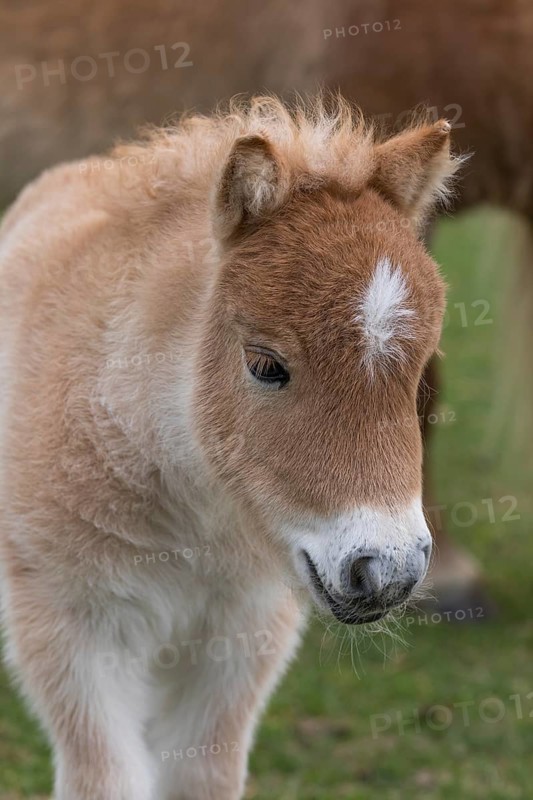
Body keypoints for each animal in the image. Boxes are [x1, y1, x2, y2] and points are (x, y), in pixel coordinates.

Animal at [0, 96, 458, 800]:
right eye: (265, 365)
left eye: (419, 371)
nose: (388, 571)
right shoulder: (69, 626)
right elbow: (107, 777)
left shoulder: (245, 633)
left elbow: (203, 772)